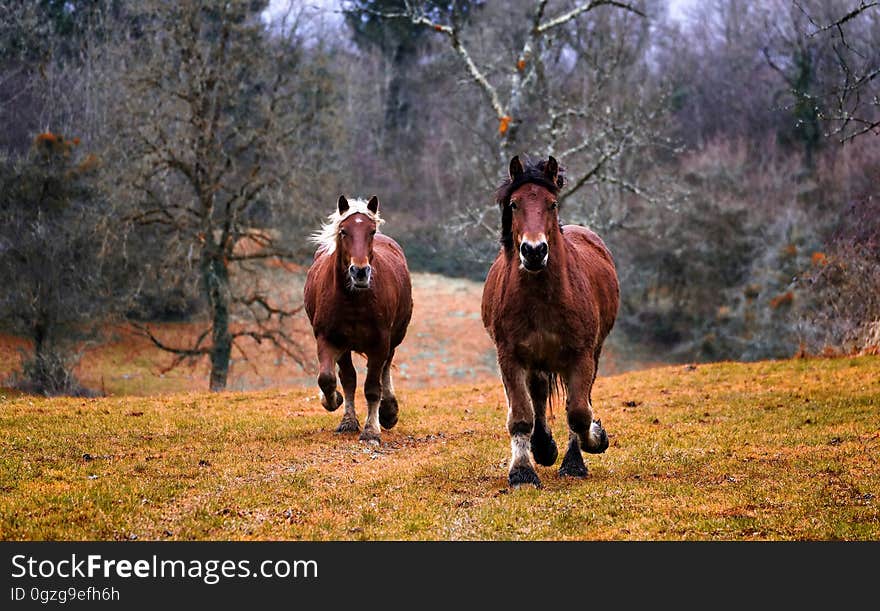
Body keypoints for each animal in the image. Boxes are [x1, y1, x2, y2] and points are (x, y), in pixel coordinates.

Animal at [304, 196, 414, 444]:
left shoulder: (380, 342)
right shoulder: (329, 339)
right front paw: (335, 404)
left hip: (394, 338)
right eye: (343, 231)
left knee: (385, 368)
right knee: (349, 378)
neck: (354, 300)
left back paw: (388, 411)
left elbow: (372, 387)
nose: (360, 272)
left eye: (371, 231)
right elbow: (330, 379)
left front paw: (372, 430)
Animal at [482, 157, 620, 488]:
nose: (534, 251)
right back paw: (543, 447)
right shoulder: (510, 357)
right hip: (537, 360)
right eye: (515, 204)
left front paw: (592, 443)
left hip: (590, 354)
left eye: (552, 203)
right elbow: (521, 415)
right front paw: (522, 471)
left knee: (577, 400)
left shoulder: (581, 356)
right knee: (539, 395)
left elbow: (579, 412)